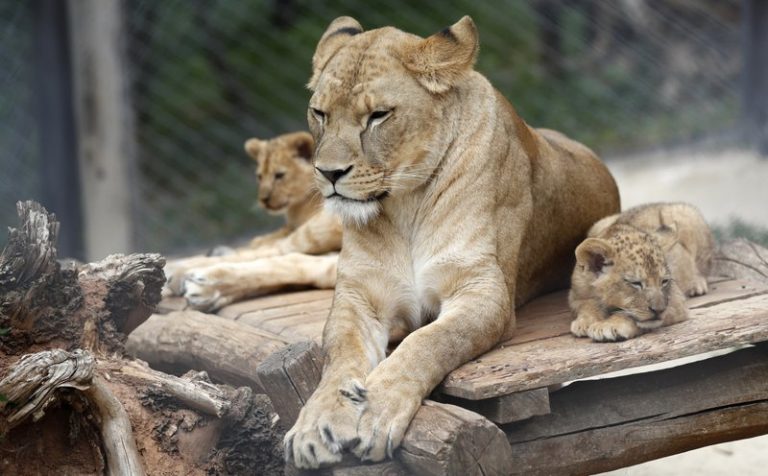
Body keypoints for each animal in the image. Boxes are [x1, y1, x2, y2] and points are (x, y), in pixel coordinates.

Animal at [284, 15, 620, 468]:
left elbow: (428, 342)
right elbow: (339, 358)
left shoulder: (483, 292)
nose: (329, 173)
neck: (404, 206)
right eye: (319, 113)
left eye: (378, 115)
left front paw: (375, 409)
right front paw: (315, 425)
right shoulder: (359, 297)